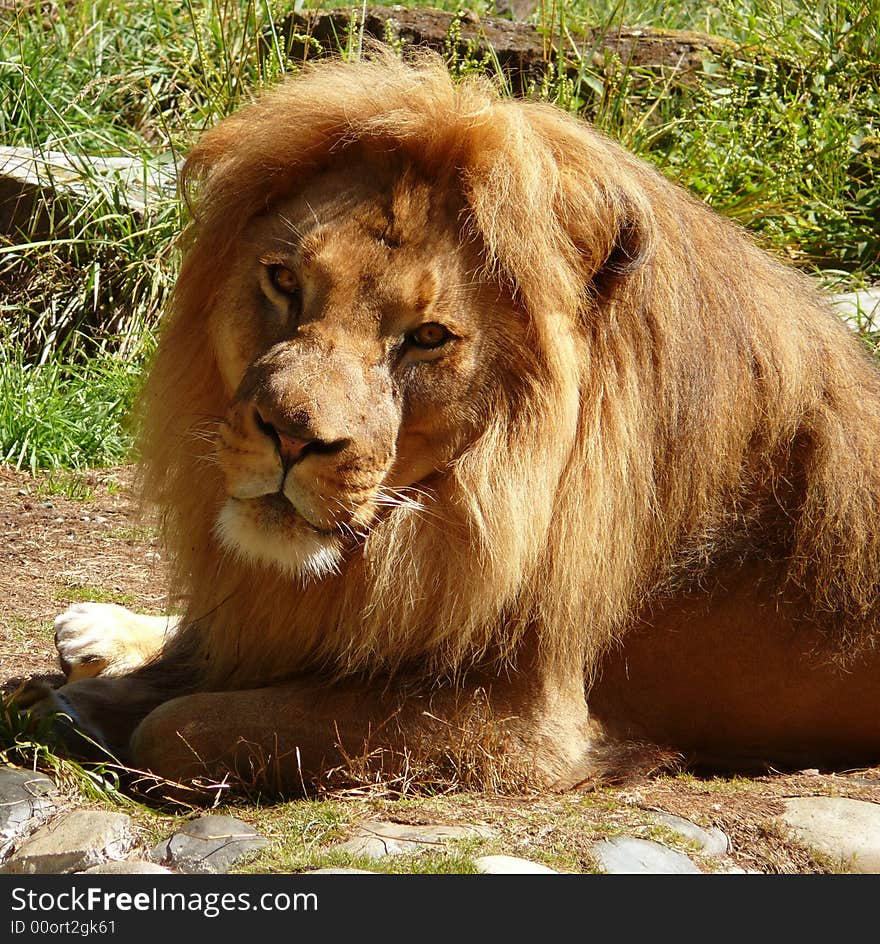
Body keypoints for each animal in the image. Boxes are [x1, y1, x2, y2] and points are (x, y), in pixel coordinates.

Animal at [31, 49, 880, 788]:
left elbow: (182, 724)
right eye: (284, 281)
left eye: (429, 336)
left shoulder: (528, 722)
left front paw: (104, 710)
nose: (290, 436)